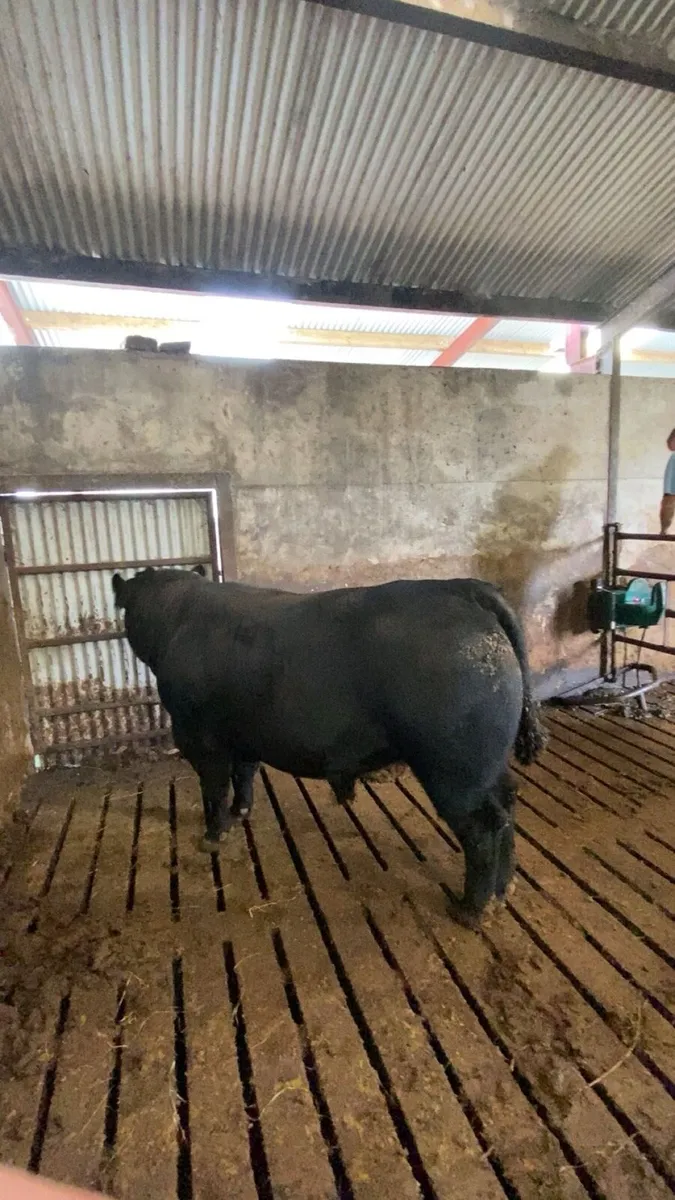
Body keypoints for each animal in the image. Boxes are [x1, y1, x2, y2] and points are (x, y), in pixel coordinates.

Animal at [112, 567, 546, 925]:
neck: (179, 618)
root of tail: (462, 587)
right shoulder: (245, 734)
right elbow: (245, 773)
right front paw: (242, 812)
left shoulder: (200, 735)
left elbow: (214, 787)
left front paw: (213, 834)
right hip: (486, 765)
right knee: (507, 803)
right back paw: (503, 892)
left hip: (454, 768)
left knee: (483, 827)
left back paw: (471, 909)